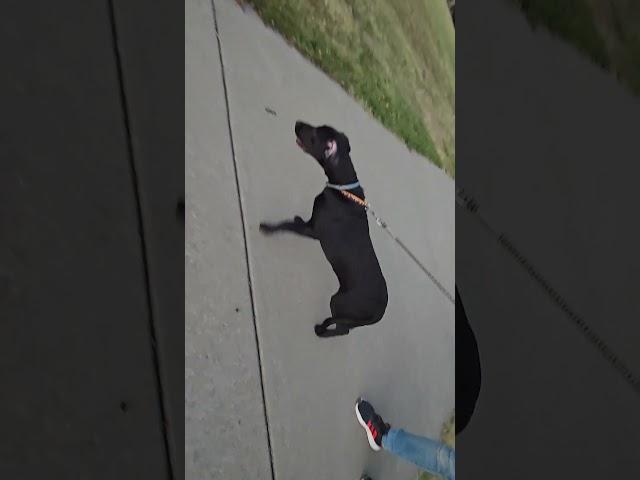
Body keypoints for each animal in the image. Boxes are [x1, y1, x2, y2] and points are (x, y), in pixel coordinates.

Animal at [258, 121, 388, 338]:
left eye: (314, 134)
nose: (297, 123)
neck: (342, 187)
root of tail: (379, 314)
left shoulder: (314, 232)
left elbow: (286, 225)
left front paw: (268, 227)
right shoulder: (313, 224)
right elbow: (299, 222)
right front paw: (297, 219)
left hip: (340, 303)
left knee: (342, 329)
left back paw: (321, 329)